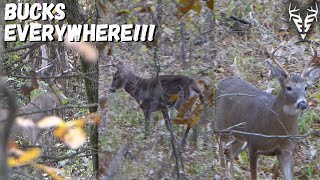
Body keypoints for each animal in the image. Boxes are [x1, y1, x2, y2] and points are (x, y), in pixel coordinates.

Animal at [214, 46, 320, 180]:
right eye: (288, 87)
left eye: (306, 87)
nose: (303, 104)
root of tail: (221, 82)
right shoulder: (253, 145)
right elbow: (253, 176)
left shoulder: (287, 151)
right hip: (222, 125)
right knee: (219, 142)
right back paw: (223, 171)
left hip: (241, 137)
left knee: (230, 151)